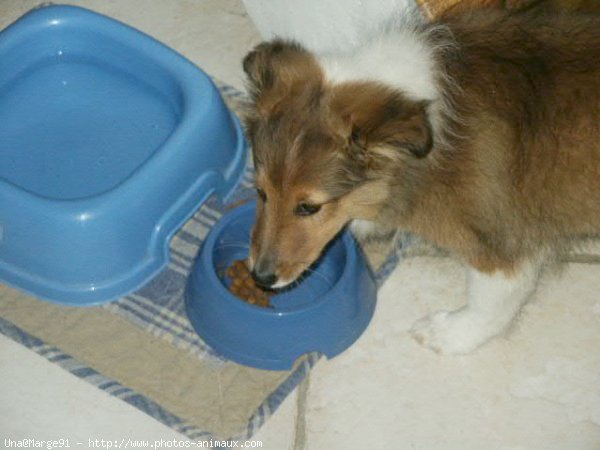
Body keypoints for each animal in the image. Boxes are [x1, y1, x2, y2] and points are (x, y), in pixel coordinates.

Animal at [240, 8, 600, 356]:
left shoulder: (499, 245)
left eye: (308, 207)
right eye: (261, 192)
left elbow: (490, 302)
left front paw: (448, 334)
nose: (260, 277)